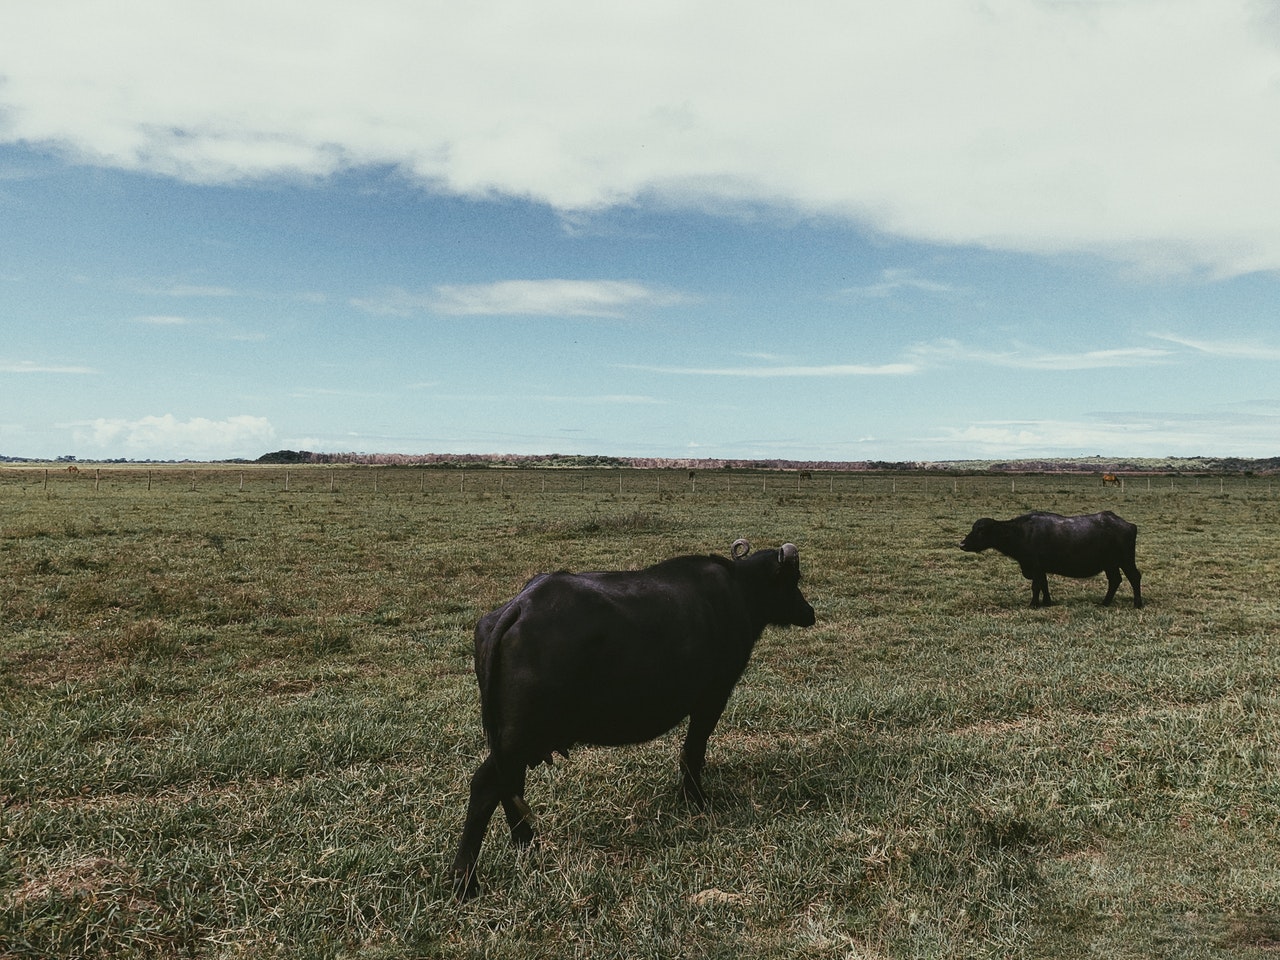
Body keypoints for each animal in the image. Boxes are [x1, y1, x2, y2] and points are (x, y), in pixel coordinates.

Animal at [450, 542, 814, 901]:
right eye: (793, 580)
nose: (809, 612)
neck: (739, 590)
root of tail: (518, 607)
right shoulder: (713, 696)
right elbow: (693, 751)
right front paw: (695, 799)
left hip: (513, 740)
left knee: (509, 785)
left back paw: (525, 842)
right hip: (521, 735)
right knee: (486, 786)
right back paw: (466, 882)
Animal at [957, 512, 1146, 609]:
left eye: (981, 530)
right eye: (973, 528)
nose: (962, 544)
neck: (1021, 533)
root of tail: (1129, 525)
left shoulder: (1035, 567)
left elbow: (1036, 586)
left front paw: (1033, 604)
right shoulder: (1040, 569)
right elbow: (1044, 585)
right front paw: (1047, 602)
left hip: (1126, 560)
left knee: (1134, 577)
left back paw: (1137, 604)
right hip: (1110, 564)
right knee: (1115, 580)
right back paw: (1104, 603)